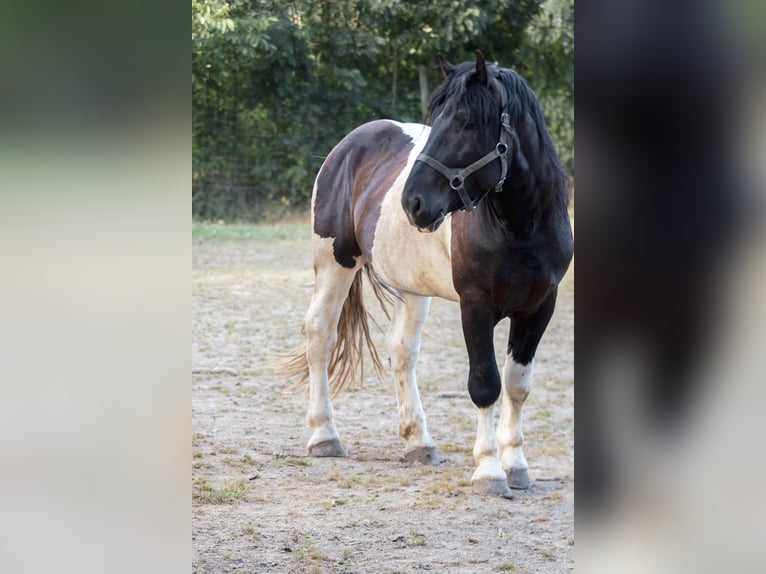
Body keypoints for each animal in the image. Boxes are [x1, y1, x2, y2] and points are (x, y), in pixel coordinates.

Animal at [280, 51, 573, 498]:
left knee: (402, 351)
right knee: (319, 334)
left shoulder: (540, 307)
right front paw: (489, 472)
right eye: (437, 119)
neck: (522, 228)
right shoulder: (475, 305)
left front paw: (517, 466)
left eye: (467, 122)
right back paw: (324, 436)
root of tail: (347, 146)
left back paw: (418, 441)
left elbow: (517, 384)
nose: (412, 202)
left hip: (412, 287)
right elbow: (485, 383)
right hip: (335, 264)